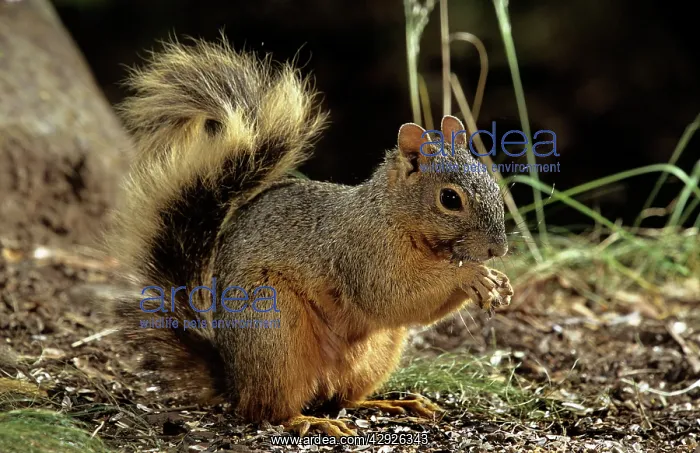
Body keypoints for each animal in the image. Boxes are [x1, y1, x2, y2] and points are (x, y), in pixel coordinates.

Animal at [108, 37, 514, 437]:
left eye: (493, 184)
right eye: (450, 199)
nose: (498, 249)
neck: (393, 214)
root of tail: (233, 378)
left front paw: (498, 282)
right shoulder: (362, 253)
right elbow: (391, 296)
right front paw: (470, 275)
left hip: (377, 353)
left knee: (341, 398)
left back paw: (391, 404)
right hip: (275, 333)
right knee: (267, 410)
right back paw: (305, 420)